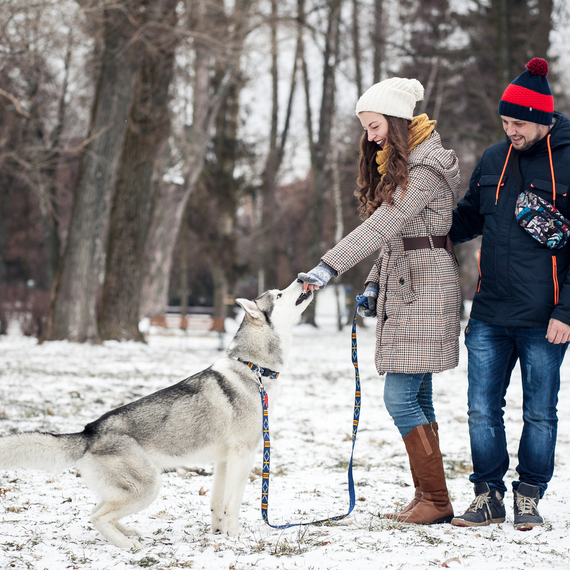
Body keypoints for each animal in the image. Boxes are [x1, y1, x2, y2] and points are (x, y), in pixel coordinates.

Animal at [0, 280, 310, 544]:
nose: (302, 278)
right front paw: (235, 536)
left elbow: (217, 503)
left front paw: (218, 533)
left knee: (98, 510)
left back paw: (127, 533)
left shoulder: (224, 460)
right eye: (279, 294)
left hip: (129, 488)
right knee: (97, 516)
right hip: (148, 486)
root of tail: (89, 431)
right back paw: (127, 545)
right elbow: (232, 504)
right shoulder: (243, 456)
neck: (253, 368)